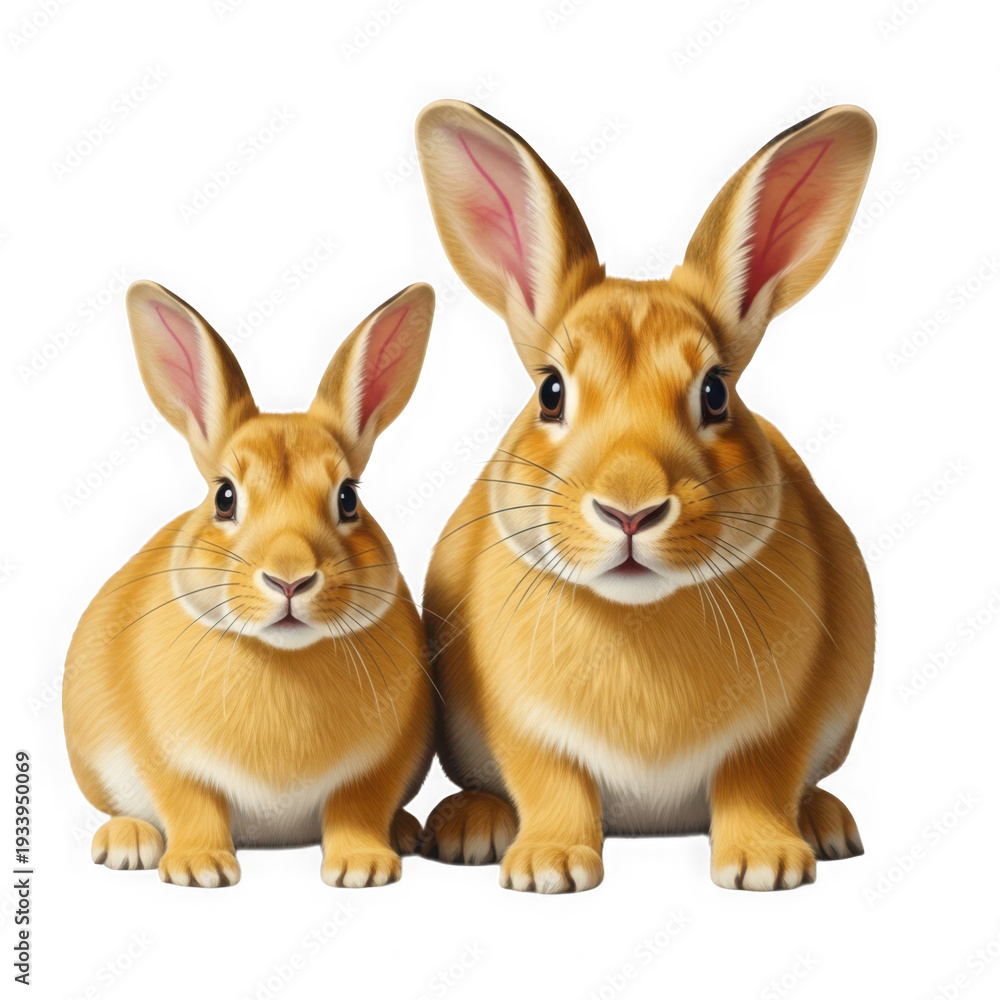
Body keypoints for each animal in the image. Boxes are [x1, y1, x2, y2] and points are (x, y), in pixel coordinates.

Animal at [63, 278, 436, 888]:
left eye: (348, 498)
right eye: (225, 497)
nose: (289, 579)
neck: (281, 656)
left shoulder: (378, 769)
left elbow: (357, 808)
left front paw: (362, 868)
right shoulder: (169, 762)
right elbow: (192, 806)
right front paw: (200, 869)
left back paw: (403, 832)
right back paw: (126, 842)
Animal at [414, 100, 877, 892]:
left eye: (716, 392)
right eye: (551, 392)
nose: (630, 511)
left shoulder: (782, 727)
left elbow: (757, 781)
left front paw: (765, 865)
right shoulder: (525, 730)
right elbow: (553, 785)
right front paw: (548, 868)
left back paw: (826, 824)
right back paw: (470, 828)